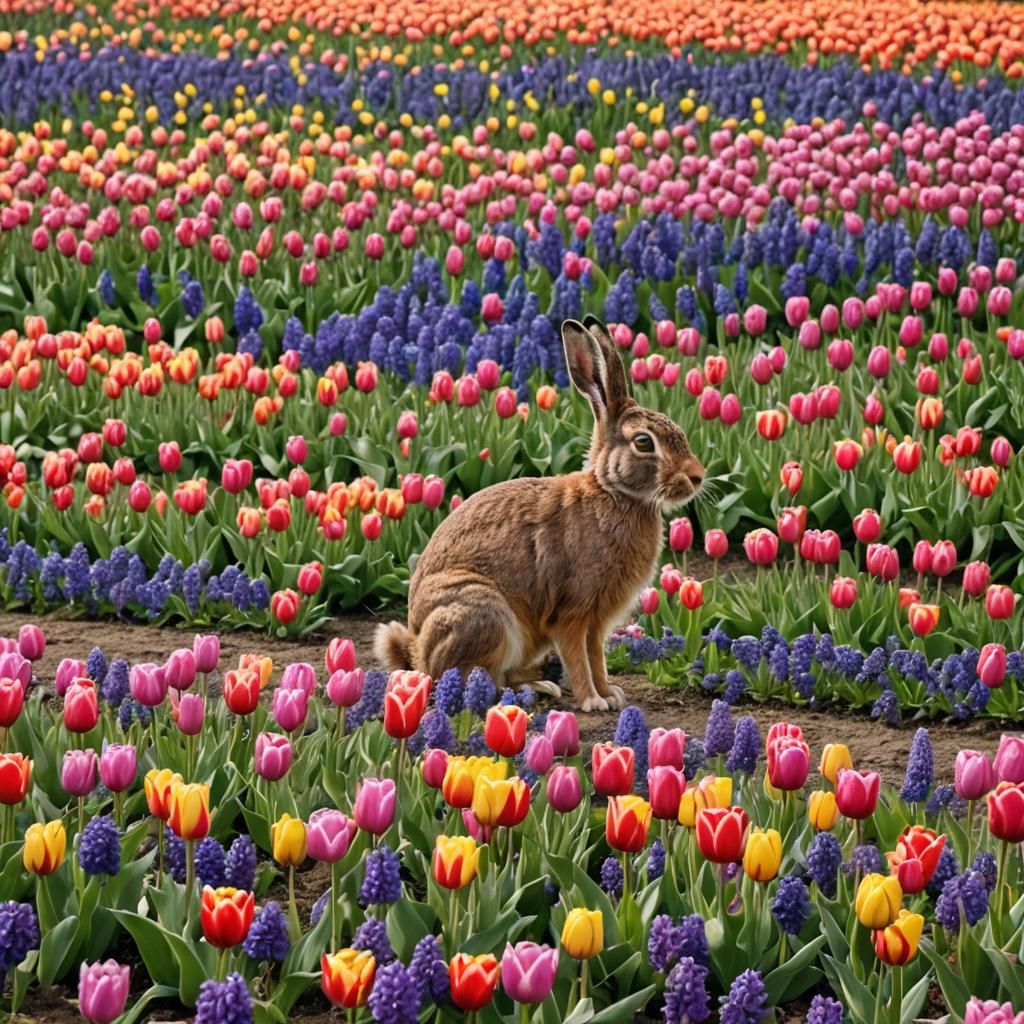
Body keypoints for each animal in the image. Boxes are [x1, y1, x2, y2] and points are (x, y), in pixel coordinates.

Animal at [375, 315, 705, 711]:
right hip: (486, 615)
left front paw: (611, 694)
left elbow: (596, 657)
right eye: (643, 442)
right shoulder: (572, 614)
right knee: (468, 680)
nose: (697, 477)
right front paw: (593, 701)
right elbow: (578, 659)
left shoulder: (596, 623)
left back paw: (541, 685)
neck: (613, 491)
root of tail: (416, 650)